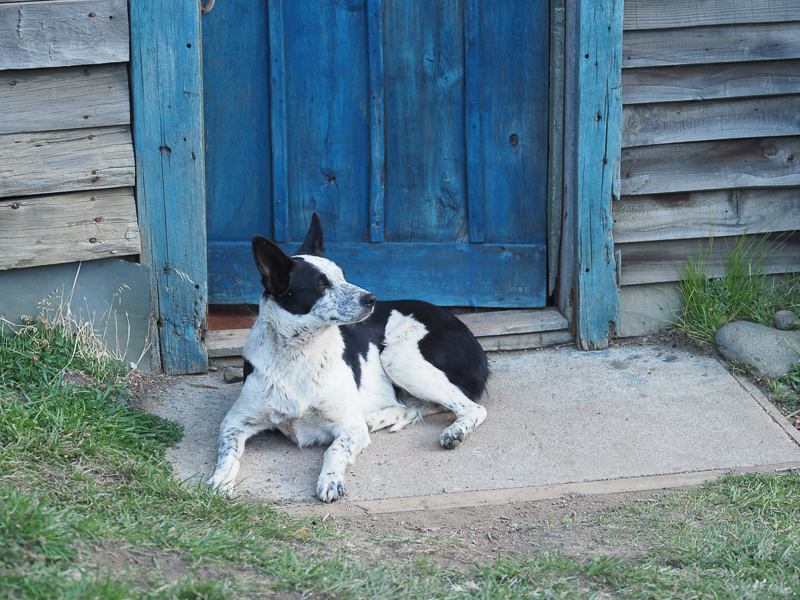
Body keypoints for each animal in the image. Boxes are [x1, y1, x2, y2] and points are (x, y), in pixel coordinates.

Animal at [207, 213, 489, 502]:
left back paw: (454, 430)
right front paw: (220, 481)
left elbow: (334, 449)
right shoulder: (233, 422)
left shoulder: (348, 428)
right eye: (322, 284)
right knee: (408, 406)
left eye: (343, 276)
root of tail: (465, 328)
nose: (372, 298)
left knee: (473, 407)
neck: (298, 354)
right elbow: (227, 455)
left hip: (397, 357)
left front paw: (331, 479)